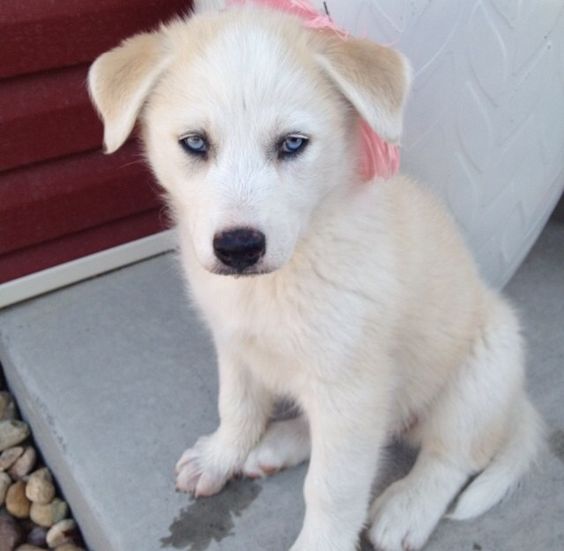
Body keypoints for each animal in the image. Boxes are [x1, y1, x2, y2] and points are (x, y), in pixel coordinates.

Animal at [88, 2, 540, 548]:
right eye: (194, 143)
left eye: (293, 144)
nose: (238, 248)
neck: (284, 273)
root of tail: (515, 403)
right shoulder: (236, 345)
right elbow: (236, 406)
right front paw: (221, 455)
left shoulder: (352, 386)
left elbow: (333, 488)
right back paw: (275, 446)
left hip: (484, 368)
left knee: (450, 457)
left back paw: (409, 506)